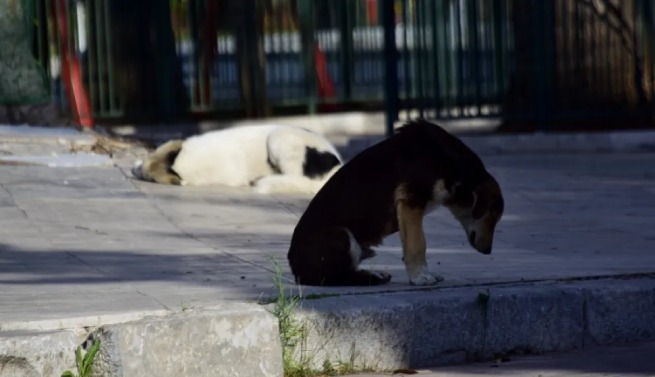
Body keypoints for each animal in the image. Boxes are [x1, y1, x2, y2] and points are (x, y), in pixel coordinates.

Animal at [288, 119, 508, 286]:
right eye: (493, 215)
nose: (488, 251)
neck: (445, 160)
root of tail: (294, 267)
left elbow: (411, 244)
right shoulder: (411, 202)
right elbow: (418, 244)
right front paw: (420, 277)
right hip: (342, 236)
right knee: (336, 278)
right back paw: (373, 277)